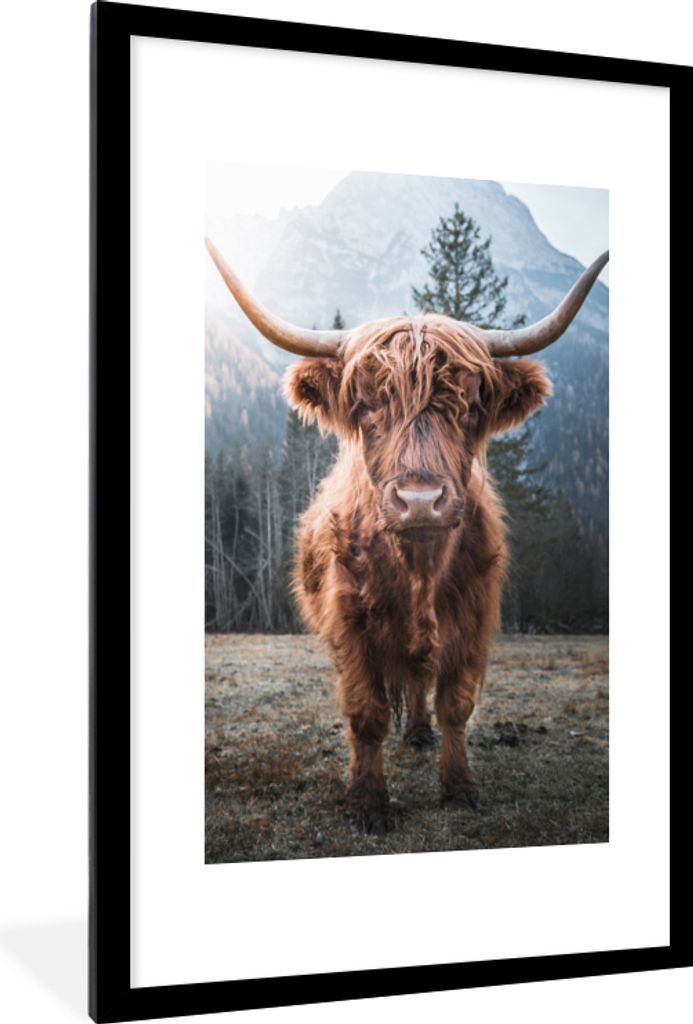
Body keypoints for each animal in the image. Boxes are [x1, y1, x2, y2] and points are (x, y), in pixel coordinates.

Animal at [206, 237, 609, 834]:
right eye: (366, 403)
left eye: (469, 404)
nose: (420, 501)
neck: (418, 568)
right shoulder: (348, 625)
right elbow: (367, 714)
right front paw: (368, 802)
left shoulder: (474, 618)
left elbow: (456, 705)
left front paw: (459, 788)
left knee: (421, 681)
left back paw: (419, 733)